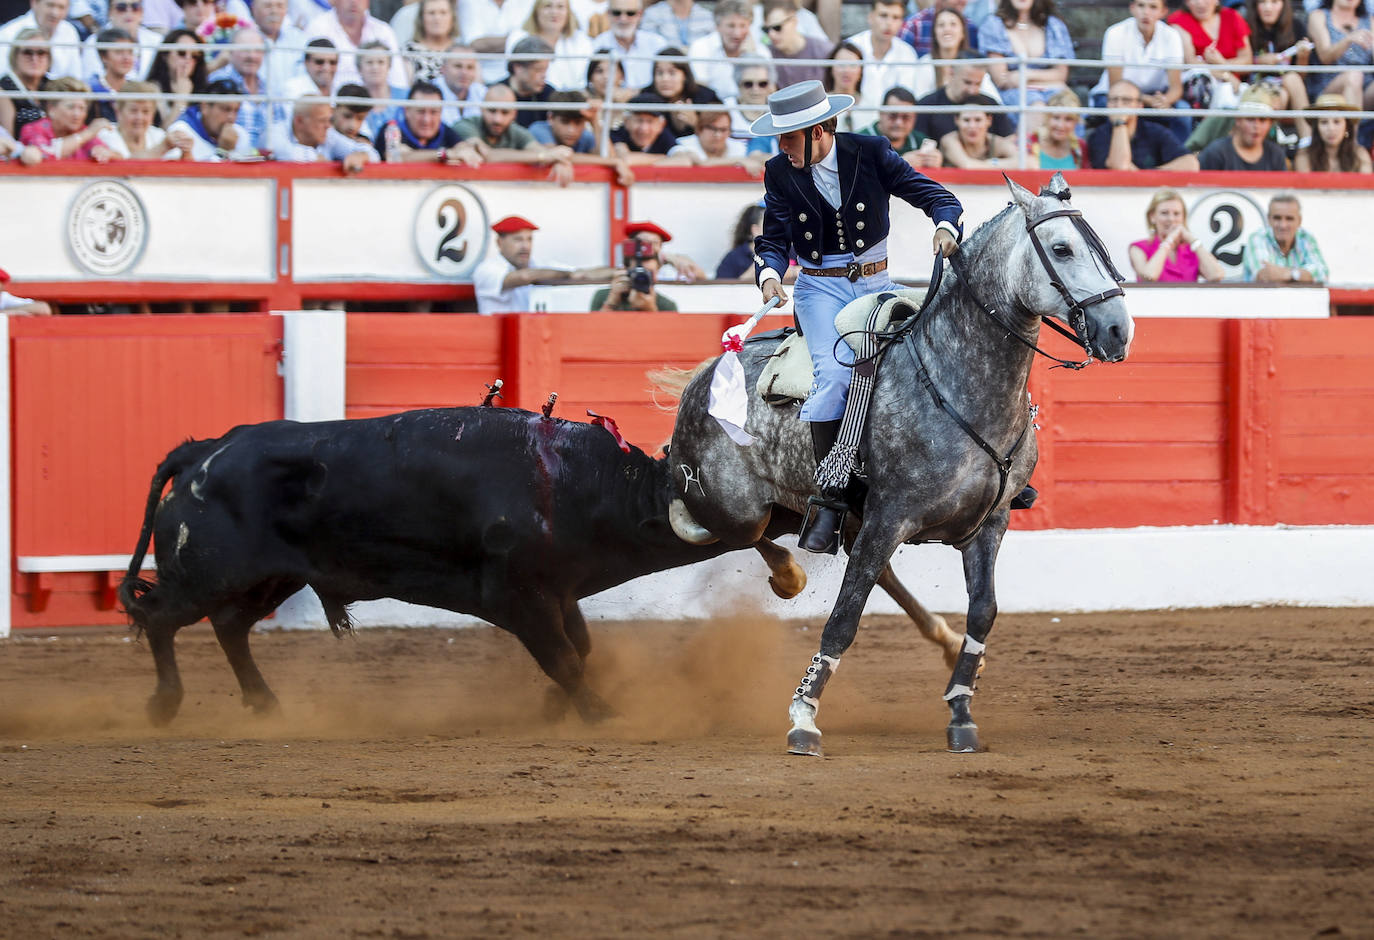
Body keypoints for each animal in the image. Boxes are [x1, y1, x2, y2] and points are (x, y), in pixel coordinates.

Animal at [115, 406, 956, 725]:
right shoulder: (517, 597)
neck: (583, 485)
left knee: (228, 627)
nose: (841, 501)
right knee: (161, 615)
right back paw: (163, 703)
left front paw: (566, 707)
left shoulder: (559, 592)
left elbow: (576, 647)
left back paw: (263, 704)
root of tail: (207, 447)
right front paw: (598, 711)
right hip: (211, 569)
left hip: (270, 576)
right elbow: (563, 657)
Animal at [670, 170, 1132, 758]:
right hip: (741, 507)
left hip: (849, 519)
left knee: (866, 566)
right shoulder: (890, 516)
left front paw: (961, 709)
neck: (958, 380)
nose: (1118, 329)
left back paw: (942, 638)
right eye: (1061, 248)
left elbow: (984, 610)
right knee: (740, 533)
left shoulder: (990, 522)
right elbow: (844, 618)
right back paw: (790, 575)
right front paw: (803, 719)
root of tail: (705, 374)